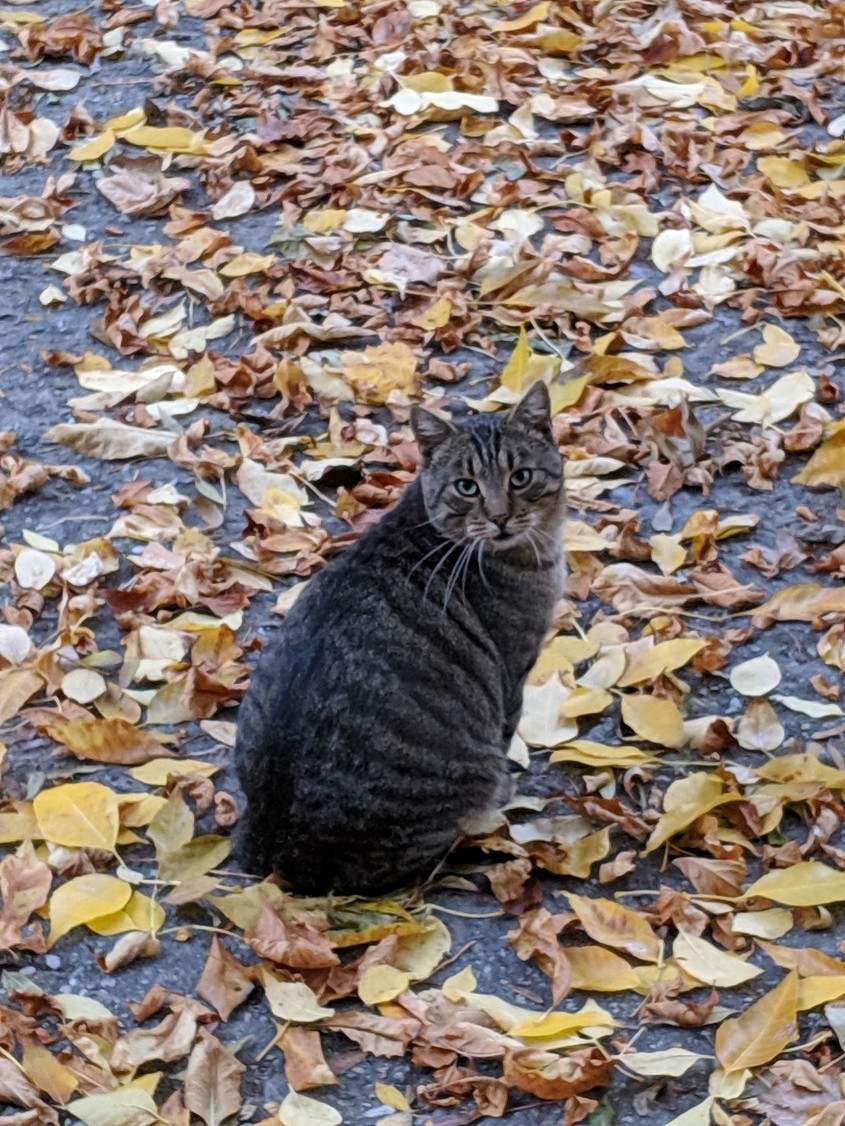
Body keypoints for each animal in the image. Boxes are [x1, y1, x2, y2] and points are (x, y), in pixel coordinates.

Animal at [236, 382, 570, 891]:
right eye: (467, 486)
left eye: (521, 477)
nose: (500, 517)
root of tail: (277, 848)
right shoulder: (513, 674)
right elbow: (507, 732)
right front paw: (507, 789)